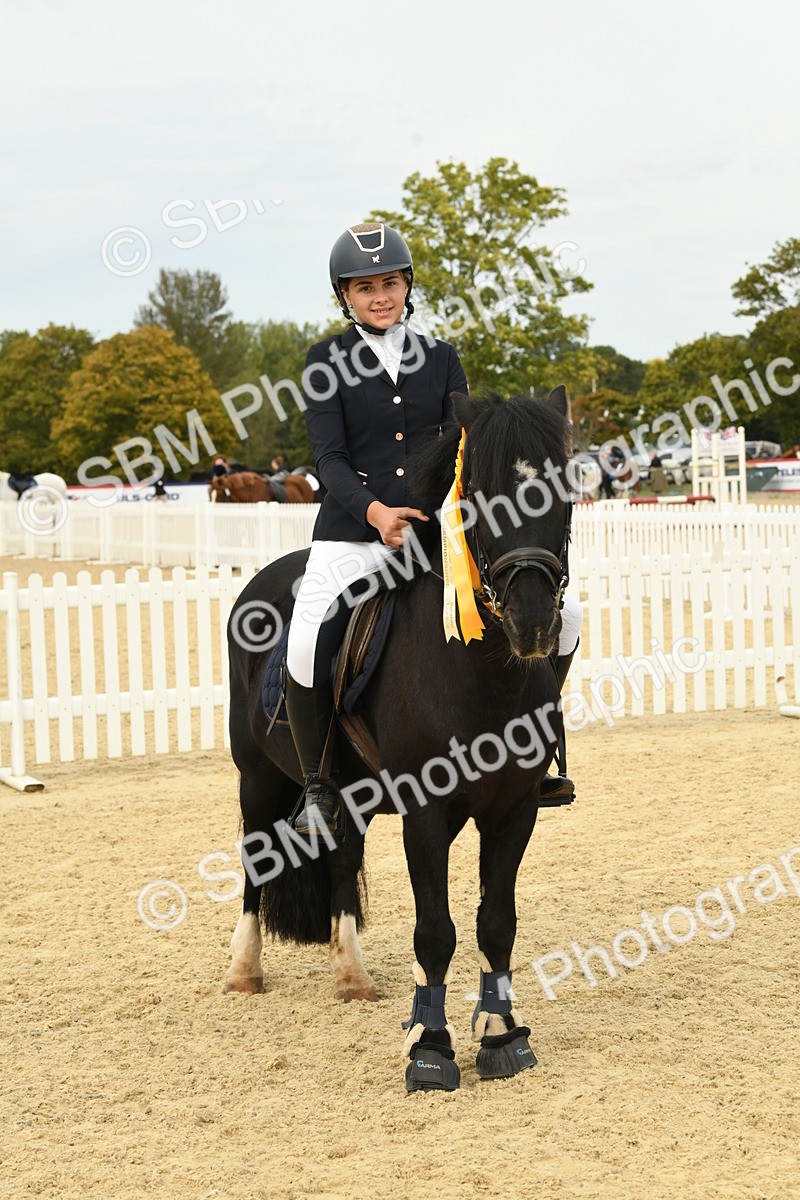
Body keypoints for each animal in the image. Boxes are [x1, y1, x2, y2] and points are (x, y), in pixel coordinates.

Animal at [223, 387, 573, 1092]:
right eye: (478, 495)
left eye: (563, 490)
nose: (531, 623)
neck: (482, 671)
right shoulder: (426, 813)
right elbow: (435, 930)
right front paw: (430, 1048)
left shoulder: (515, 809)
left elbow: (497, 922)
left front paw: (503, 1035)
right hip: (258, 777)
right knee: (255, 858)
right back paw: (244, 970)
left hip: (345, 796)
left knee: (338, 858)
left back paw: (352, 976)